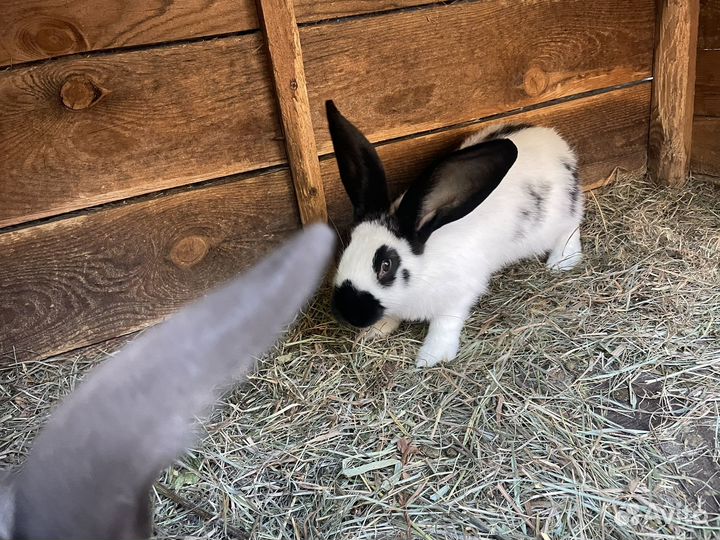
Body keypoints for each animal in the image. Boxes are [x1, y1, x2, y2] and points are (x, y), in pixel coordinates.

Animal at [326, 100, 584, 367]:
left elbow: (445, 325)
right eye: (345, 250)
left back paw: (561, 262)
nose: (348, 313)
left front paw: (431, 358)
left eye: (386, 265)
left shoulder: (459, 295)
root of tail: (556, 142)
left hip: (556, 219)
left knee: (572, 226)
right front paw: (375, 331)